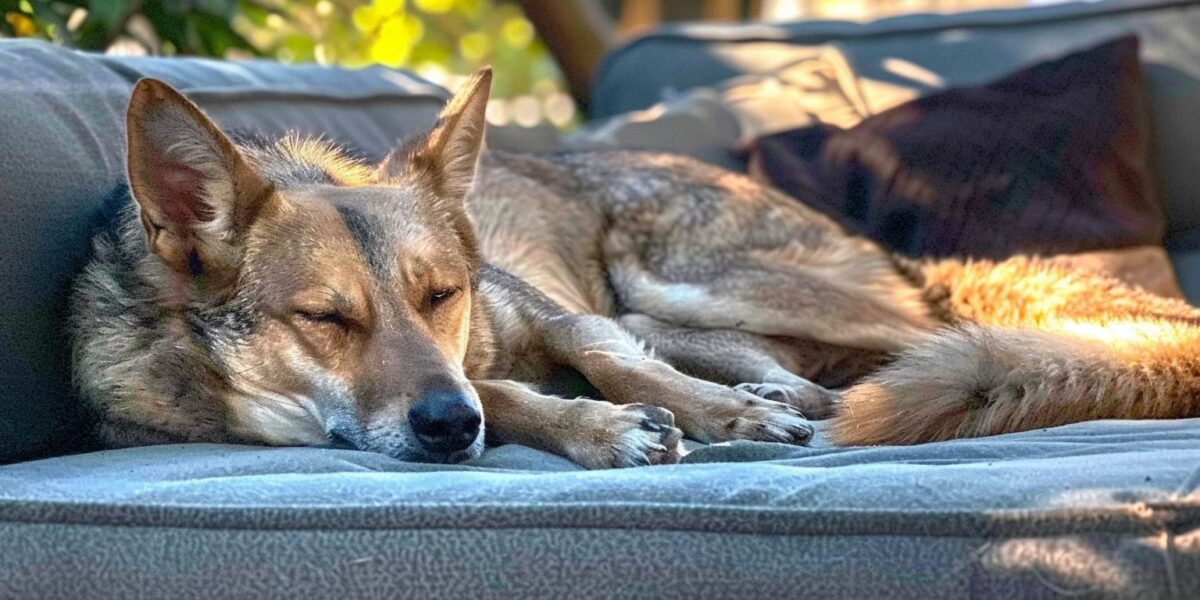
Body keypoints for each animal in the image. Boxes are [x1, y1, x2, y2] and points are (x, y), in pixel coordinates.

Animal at [70, 68, 1200, 465]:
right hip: (687, 307)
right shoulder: (479, 377)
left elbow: (610, 368)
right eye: (325, 319)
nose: (445, 431)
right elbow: (521, 399)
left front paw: (714, 418)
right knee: (784, 362)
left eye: (441, 295)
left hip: (693, 282)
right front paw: (600, 431)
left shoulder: (559, 320)